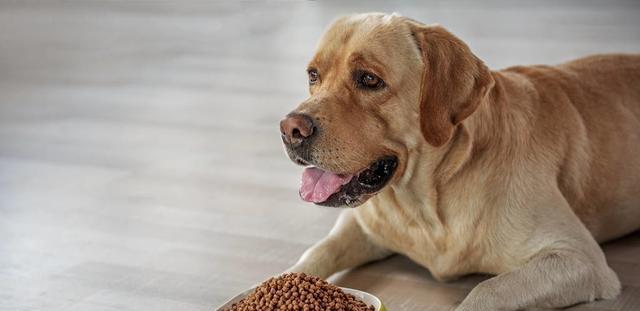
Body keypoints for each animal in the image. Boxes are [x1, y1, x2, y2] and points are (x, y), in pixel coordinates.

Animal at [278, 13, 640, 310]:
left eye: (369, 79)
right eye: (313, 75)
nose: (290, 129)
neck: (427, 202)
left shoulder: (578, 258)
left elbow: (487, 290)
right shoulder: (360, 227)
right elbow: (315, 253)